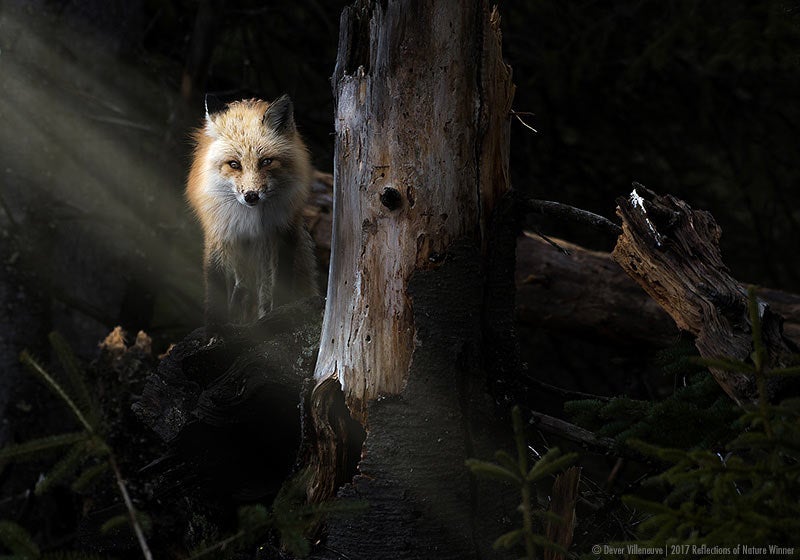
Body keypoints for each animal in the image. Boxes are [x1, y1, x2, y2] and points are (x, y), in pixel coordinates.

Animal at [186, 94, 318, 334]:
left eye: (266, 161)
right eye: (234, 164)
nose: (251, 196)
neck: (250, 220)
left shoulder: (281, 231)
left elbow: (276, 285)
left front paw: (278, 316)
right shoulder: (220, 233)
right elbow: (216, 283)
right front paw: (214, 329)